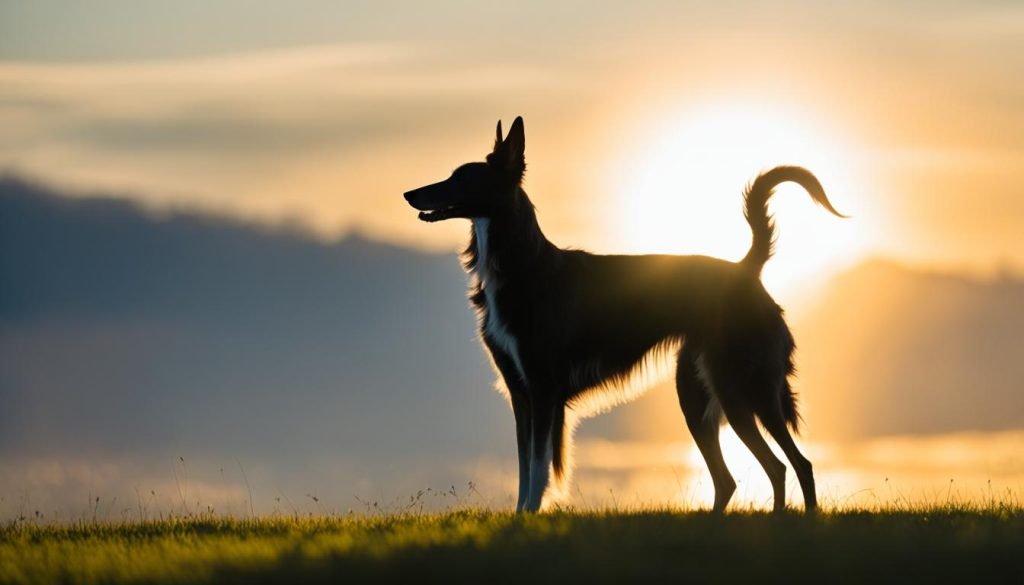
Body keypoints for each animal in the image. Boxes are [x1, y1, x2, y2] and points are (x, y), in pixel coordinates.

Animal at [403, 115, 843, 512]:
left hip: (744, 390)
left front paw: (528, 518)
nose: (409, 194)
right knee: (733, 479)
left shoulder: (543, 389)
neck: (520, 264)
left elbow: (538, 466)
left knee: (793, 465)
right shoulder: (520, 392)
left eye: (461, 179)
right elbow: (525, 468)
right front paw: (518, 519)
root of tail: (745, 268)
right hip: (697, 394)